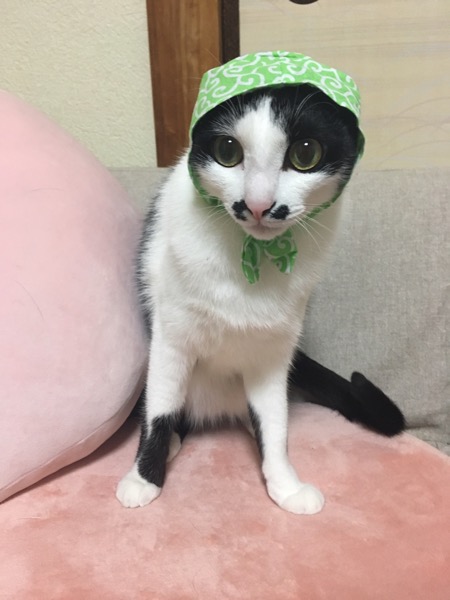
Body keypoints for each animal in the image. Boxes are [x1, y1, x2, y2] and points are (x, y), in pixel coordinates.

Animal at [116, 84, 405, 515]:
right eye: (228, 151)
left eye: (306, 153)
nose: (257, 204)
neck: (253, 254)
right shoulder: (172, 337)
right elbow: (160, 409)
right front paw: (143, 478)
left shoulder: (272, 352)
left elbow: (274, 422)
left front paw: (284, 483)